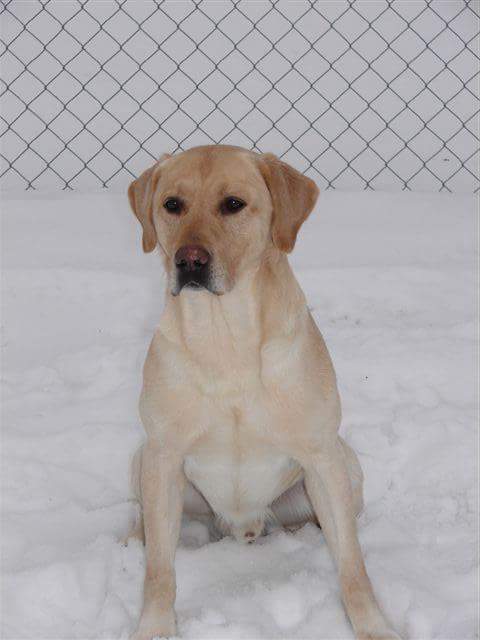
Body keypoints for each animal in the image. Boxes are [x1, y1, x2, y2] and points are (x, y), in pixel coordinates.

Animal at [125, 146, 400, 640]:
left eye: (233, 204)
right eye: (172, 204)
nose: (189, 260)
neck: (225, 337)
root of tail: (243, 527)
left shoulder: (322, 457)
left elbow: (352, 566)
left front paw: (373, 626)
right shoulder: (164, 456)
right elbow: (159, 570)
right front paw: (154, 627)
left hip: (346, 466)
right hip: (144, 462)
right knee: (150, 529)